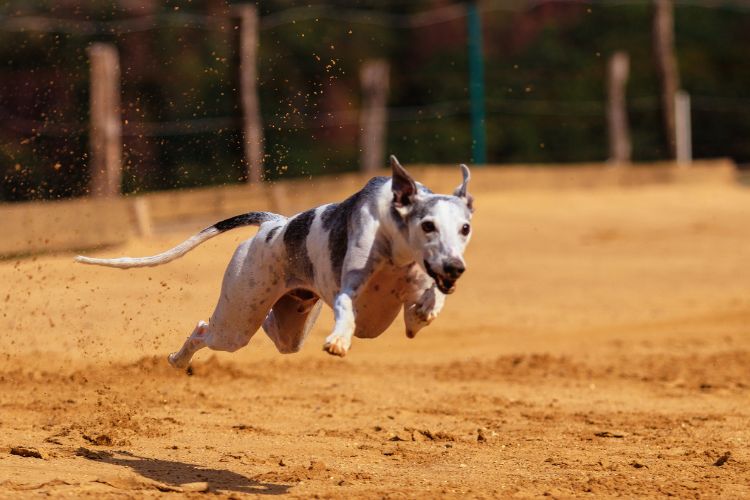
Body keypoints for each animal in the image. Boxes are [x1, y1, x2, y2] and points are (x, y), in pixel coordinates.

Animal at [78, 156, 476, 368]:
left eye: (465, 228)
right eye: (427, 225)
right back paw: (179, 358)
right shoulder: (349, 287)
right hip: (236, 322)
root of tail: (273, 223)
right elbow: (347, 307)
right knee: (206, 329)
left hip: (290, 326)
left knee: (272, 328)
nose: (455, 268)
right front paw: (339, 340)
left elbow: (429, 301)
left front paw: (423, 312)